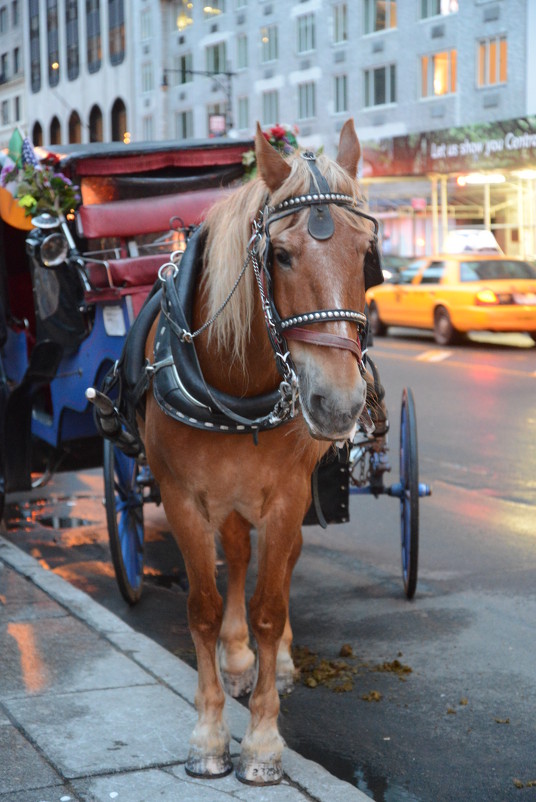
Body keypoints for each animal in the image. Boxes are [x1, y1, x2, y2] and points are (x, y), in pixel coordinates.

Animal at [140, 119, 378, 780]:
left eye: (365, 254)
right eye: (282, 254)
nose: (339, 403)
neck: (237, 389)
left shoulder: (289, 495)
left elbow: (271, 606)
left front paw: (265, 742)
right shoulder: (182, 497)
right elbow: (202, 606)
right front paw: (208, 736)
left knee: (280, 562)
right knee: (238, 555)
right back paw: (236, 656)